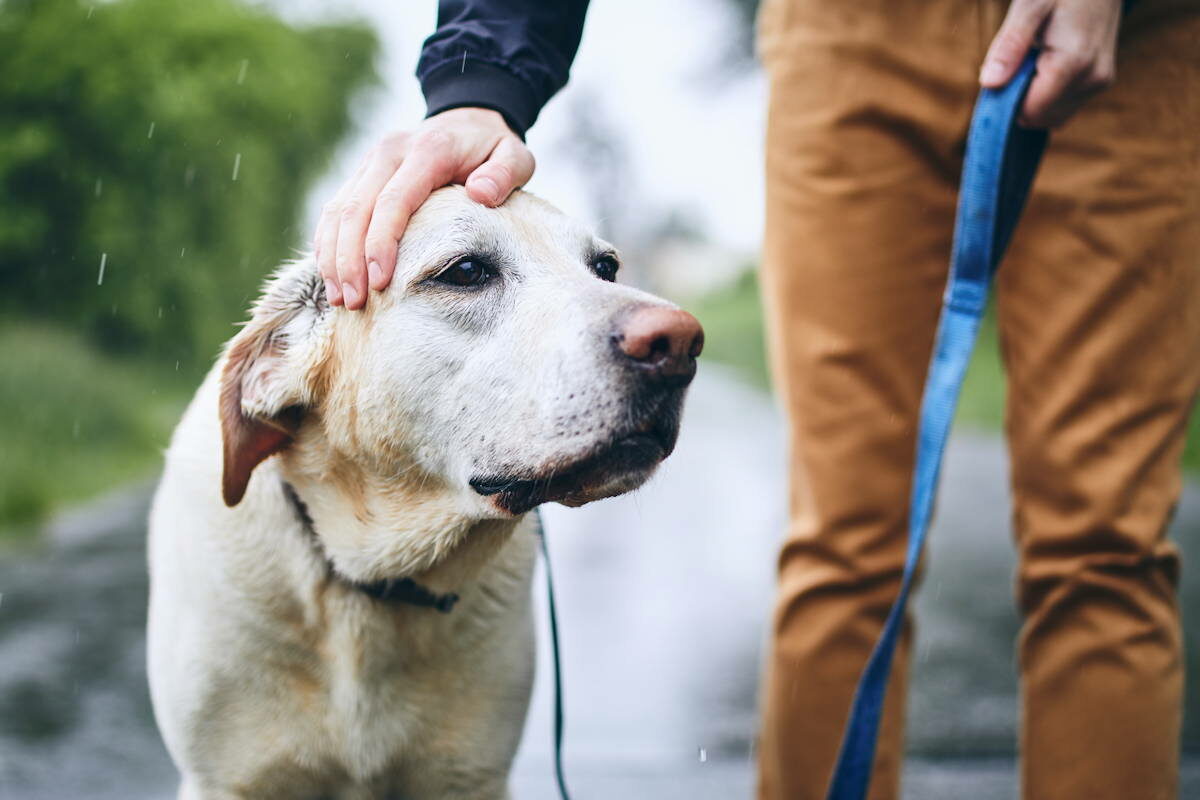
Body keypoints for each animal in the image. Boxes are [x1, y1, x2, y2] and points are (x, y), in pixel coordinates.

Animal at [146, 188, 700, 800]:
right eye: (466, 271)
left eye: (605, 268)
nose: (679, 342)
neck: (374, 581)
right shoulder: (225, 780)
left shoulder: (471, 777)